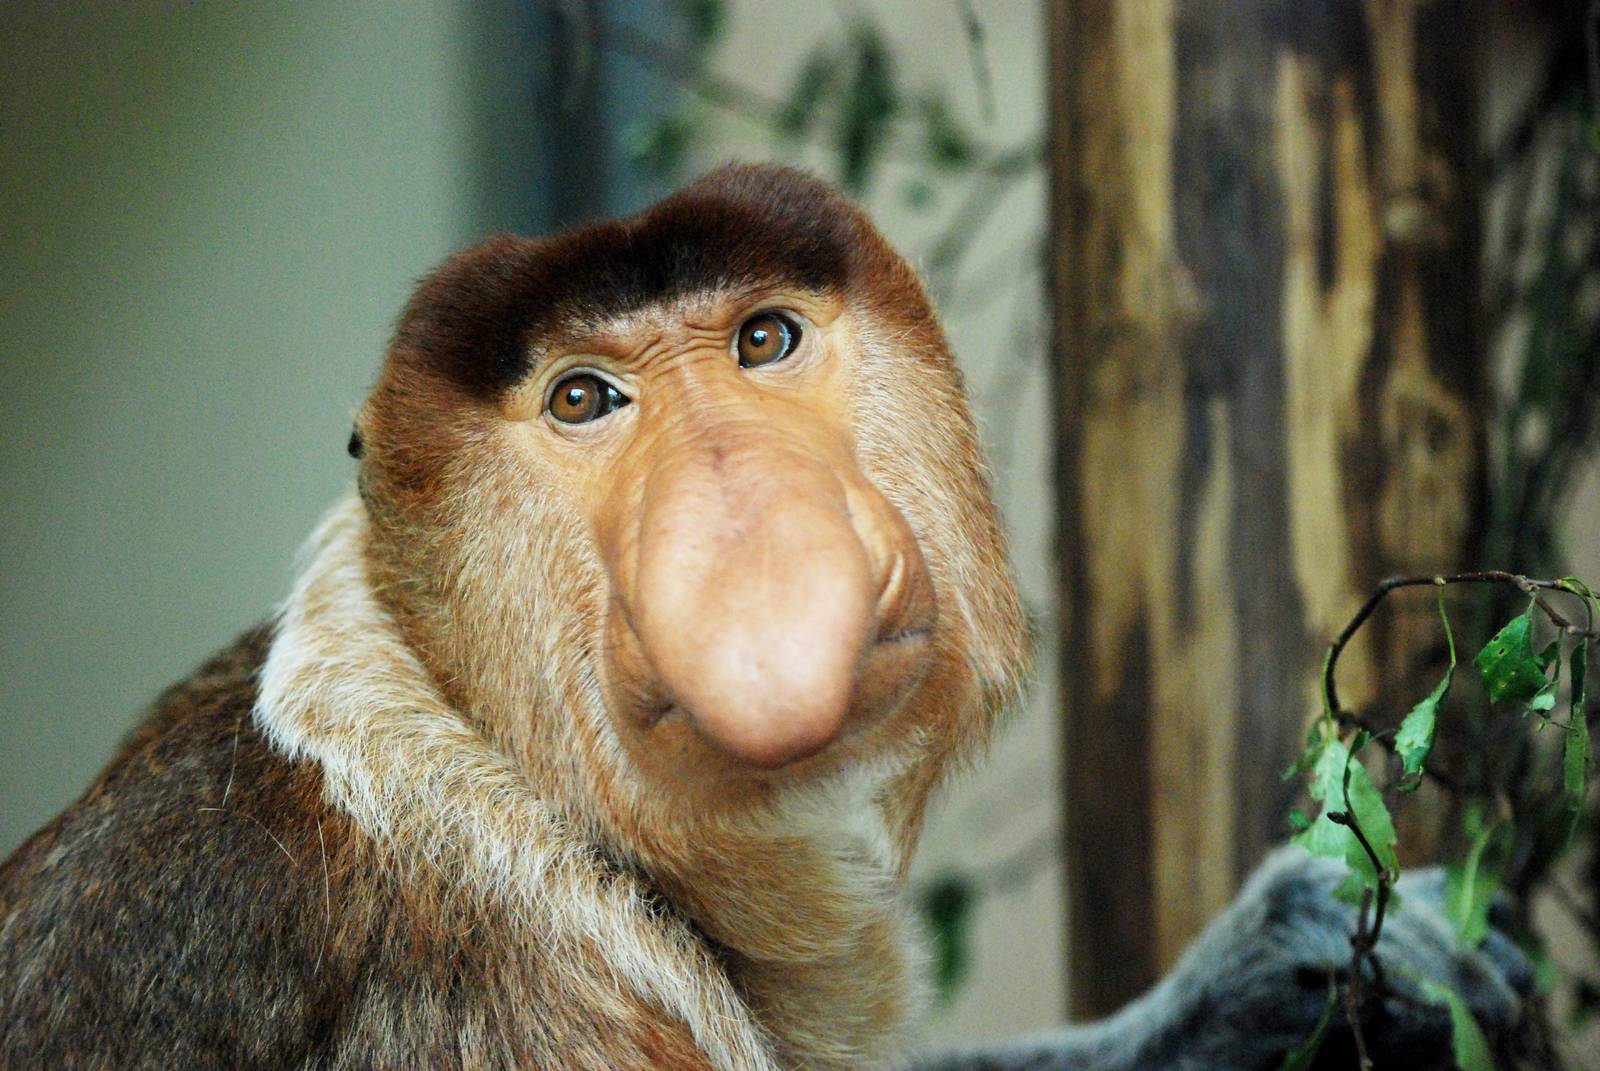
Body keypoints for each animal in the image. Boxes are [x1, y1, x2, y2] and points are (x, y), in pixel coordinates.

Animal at [0, 164, 1529, 1070]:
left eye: (763, 340)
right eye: (583, 397)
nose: (752, 529)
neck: (475, 726)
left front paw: (1281, 961)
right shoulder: (527, 975)